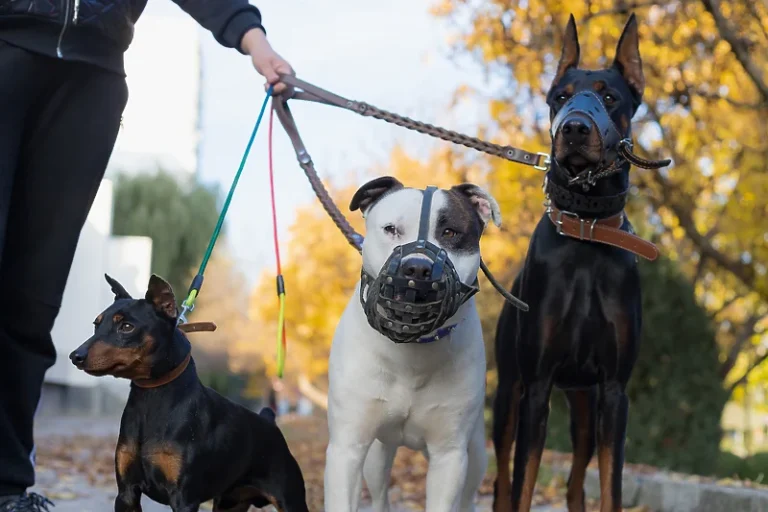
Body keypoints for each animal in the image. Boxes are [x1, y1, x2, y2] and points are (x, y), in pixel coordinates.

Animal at [70, 274, 308, 512]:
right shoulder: (126, 494)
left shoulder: (184, 498)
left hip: (290, 500)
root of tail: (270, 422)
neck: (152, 397)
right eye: (96, 324)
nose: (75, 356)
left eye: (127, 327)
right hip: (230, 503)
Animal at [320, 177, 500, 512]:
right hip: (376, 456)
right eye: (391, 229)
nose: (416, 268)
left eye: (450, 232)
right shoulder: (347, 448)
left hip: (475, 456)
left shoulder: (449, 456)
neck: (412, 351)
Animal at [492, 13, 660, 512]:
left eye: (610, 96)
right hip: (507, 395)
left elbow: (612, 488)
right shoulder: (536, 386)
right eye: (560, 97)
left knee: (573, 481)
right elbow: (521, 484)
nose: (576, 129)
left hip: (585, 405)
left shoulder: (615, 393)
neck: (587, 229)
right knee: (502, 477)